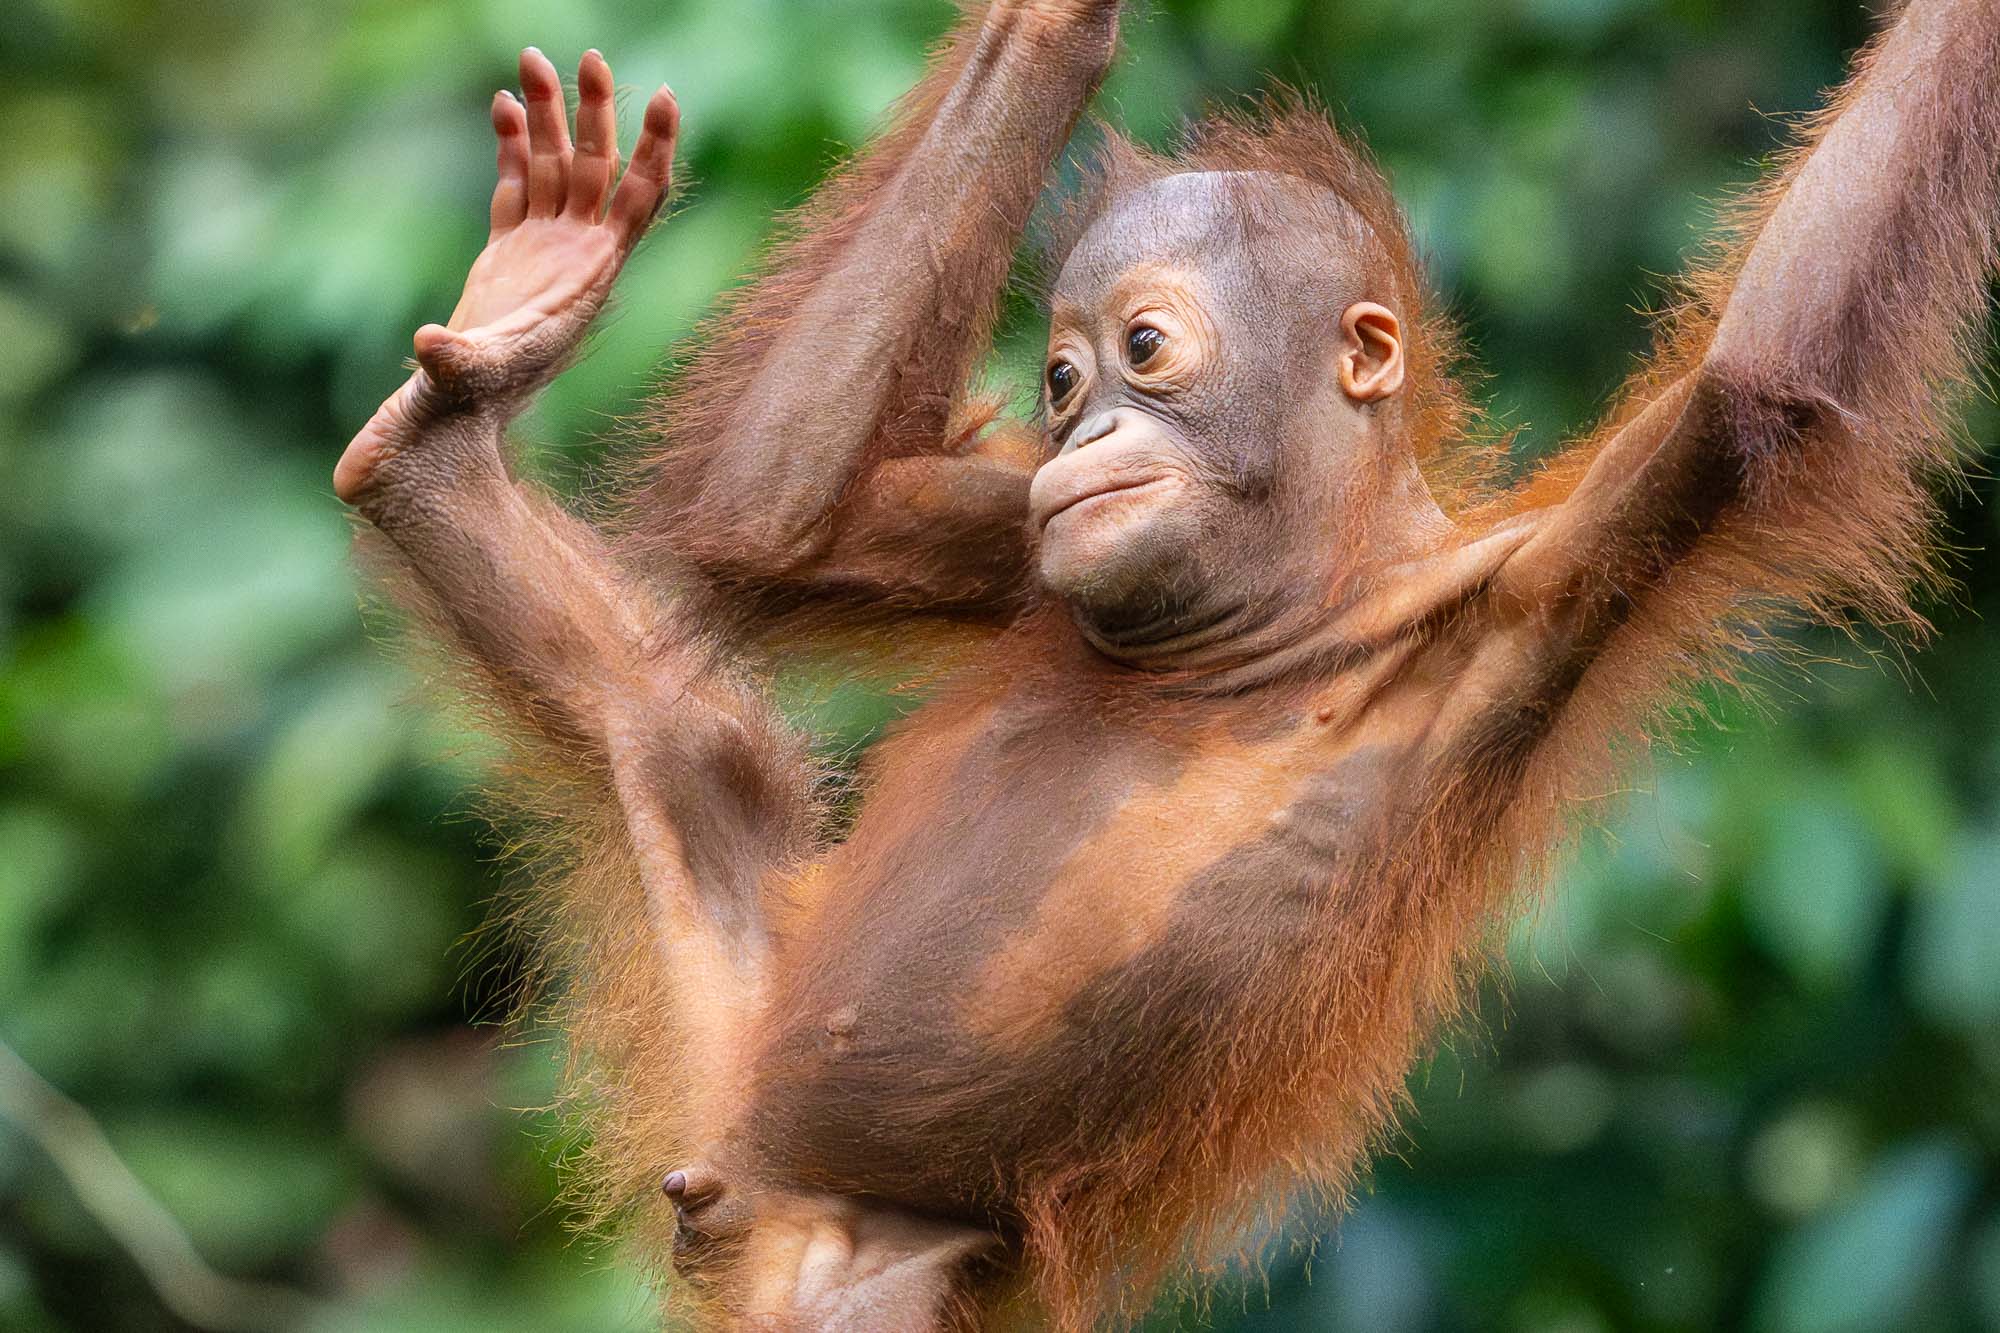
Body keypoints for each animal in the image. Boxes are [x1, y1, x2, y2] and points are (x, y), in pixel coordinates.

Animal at [333, 2, 2000, 1329]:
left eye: (1143, 352)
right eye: (1061, 382)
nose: (1086, 435)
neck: (1298, 591)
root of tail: (750, 1190)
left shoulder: (1554, 574)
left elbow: (1755, 377)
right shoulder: (1023, 542)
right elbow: (769, 531)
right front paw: (1052, 27)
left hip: (867, 1275)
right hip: (734, 1039)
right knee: (684, 735)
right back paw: (444, 427)